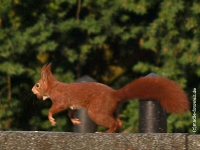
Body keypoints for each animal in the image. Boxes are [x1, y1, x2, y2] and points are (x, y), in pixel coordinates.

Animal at [32, 63, 190, 133]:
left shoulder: (61, 99)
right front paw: (75, 121)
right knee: (118, 122)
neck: (53, 87)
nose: (32, 90)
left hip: (97, 110)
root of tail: (115, 94)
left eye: (37, 85)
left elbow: (56, 108)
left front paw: (51, 118)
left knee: (113, 123)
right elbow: (70, 112)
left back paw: (104, 132)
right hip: (111, 109)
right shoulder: (72, 105)